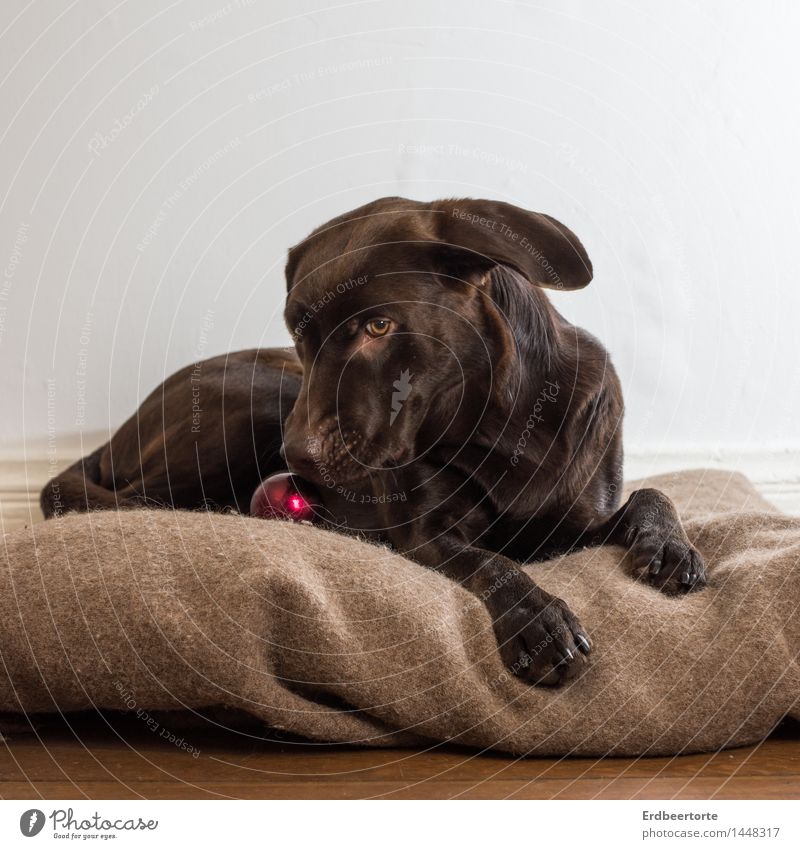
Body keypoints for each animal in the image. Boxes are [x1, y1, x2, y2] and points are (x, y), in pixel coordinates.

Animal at [42, 200, 708, 688]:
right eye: (299, 335)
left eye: (379, 326)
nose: (298, 458)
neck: (501, 426)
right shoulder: (425, 534)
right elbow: (490, 562)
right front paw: (539, 624)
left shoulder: (566, 526)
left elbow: (651, 495)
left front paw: (672, 549)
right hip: (253, 405)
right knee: (127, 498)